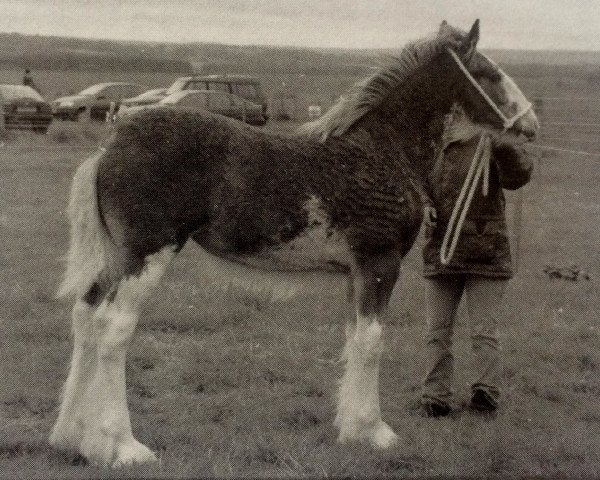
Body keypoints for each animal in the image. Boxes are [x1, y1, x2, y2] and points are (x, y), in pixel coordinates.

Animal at [50, 20, 540, 466]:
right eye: (489, 73)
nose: (531, 125)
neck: (380, 151)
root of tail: (110, 145)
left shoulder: (356, 273)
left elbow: (354, 338)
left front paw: (350, 428)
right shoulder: (379, 263)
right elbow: (372, 342)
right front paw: (374, 431)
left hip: (116, 258)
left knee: (85, 317)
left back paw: (73, 438)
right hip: (147, 254)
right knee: (113, 329)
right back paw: (123, 446)